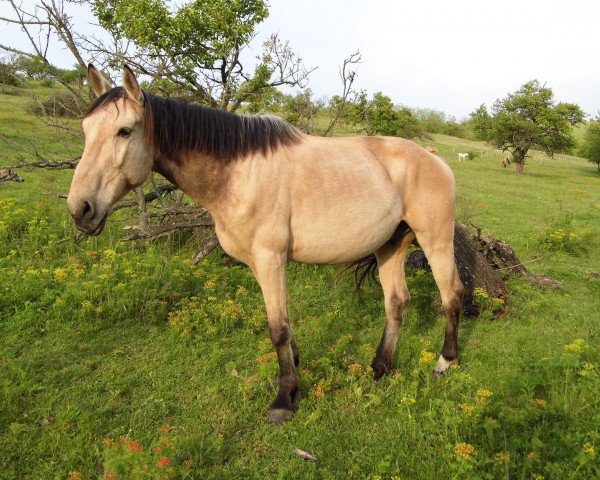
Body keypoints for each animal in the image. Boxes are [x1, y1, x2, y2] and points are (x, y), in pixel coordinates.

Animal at [68, 65, 466, 426]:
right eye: (86, 129)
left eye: (124, 131)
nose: (80, 209)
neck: (238, 173)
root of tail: (433, 156)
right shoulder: (261, 264)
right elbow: (283, 322)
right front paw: (295, 371)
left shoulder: (270, 258)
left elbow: (278, 329)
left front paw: (284, 399)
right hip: (390, 246)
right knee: (397, 302)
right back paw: (380, 367)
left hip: (436, 241)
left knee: (452, 294)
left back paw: (445, 362)